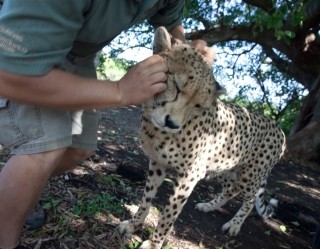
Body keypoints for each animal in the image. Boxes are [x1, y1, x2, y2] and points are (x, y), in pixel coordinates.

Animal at [118, 26, 288, 249]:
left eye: (198, 105)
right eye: (177, 86)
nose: (172, 123)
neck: (154, 125)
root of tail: (279, 129)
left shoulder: (191, 174)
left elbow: (168, 214)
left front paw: (154, 243)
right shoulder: (157, 162)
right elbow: (146, 198)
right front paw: (134, 224)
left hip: (249, 175)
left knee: (250, 200)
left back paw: (234, 225)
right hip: (224, 166)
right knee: (231, 189)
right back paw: (209, 206)